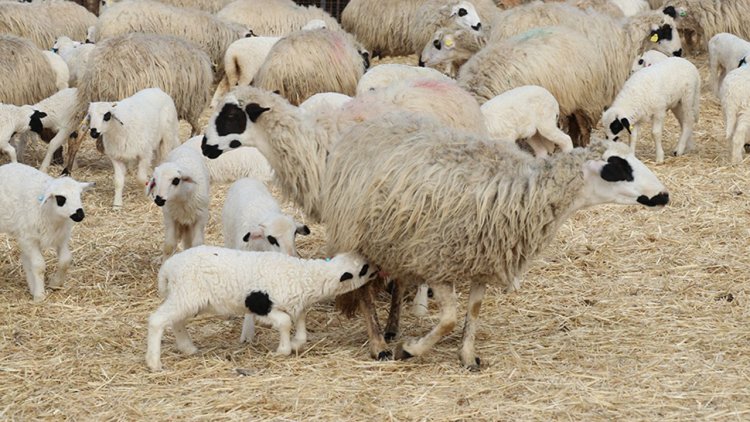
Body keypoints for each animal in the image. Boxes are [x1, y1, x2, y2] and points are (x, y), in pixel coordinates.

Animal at [0, 163, 93, 302]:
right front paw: (39, 295)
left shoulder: (61, 237)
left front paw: (55, 283)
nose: (79, 215)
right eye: (60, 198)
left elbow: (65, 260)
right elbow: (39, 266)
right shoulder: (29, 239)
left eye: (79, 195)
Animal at [148, 246, 378, 370]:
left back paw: (188, 348)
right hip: (186, 294)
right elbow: (285, 322)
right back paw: (154, 363)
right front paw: (283, 350)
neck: (305, 276)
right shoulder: (262, 306)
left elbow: (300, 321)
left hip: (186, 298)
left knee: (176, 321)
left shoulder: (296, 303)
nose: (379, 268)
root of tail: (167, 269)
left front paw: (296, 343)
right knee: (157, 320)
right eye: (364, 269)